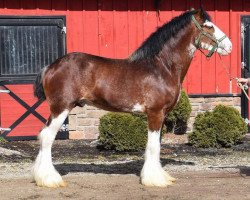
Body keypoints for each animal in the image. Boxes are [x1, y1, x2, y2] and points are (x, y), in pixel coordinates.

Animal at [33, 8, 232, 188]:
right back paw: (50, 179)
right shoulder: (155, 113)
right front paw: (154, 180)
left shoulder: (162, 115)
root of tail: (50, 67)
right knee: (48, 137)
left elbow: (157, 145)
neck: (162, 67)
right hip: (61, 108)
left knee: (43, 135)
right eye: (208, 26)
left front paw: (159, 176)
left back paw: (40, 176)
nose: (229, 46)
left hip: (56, 110)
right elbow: (153, 146)